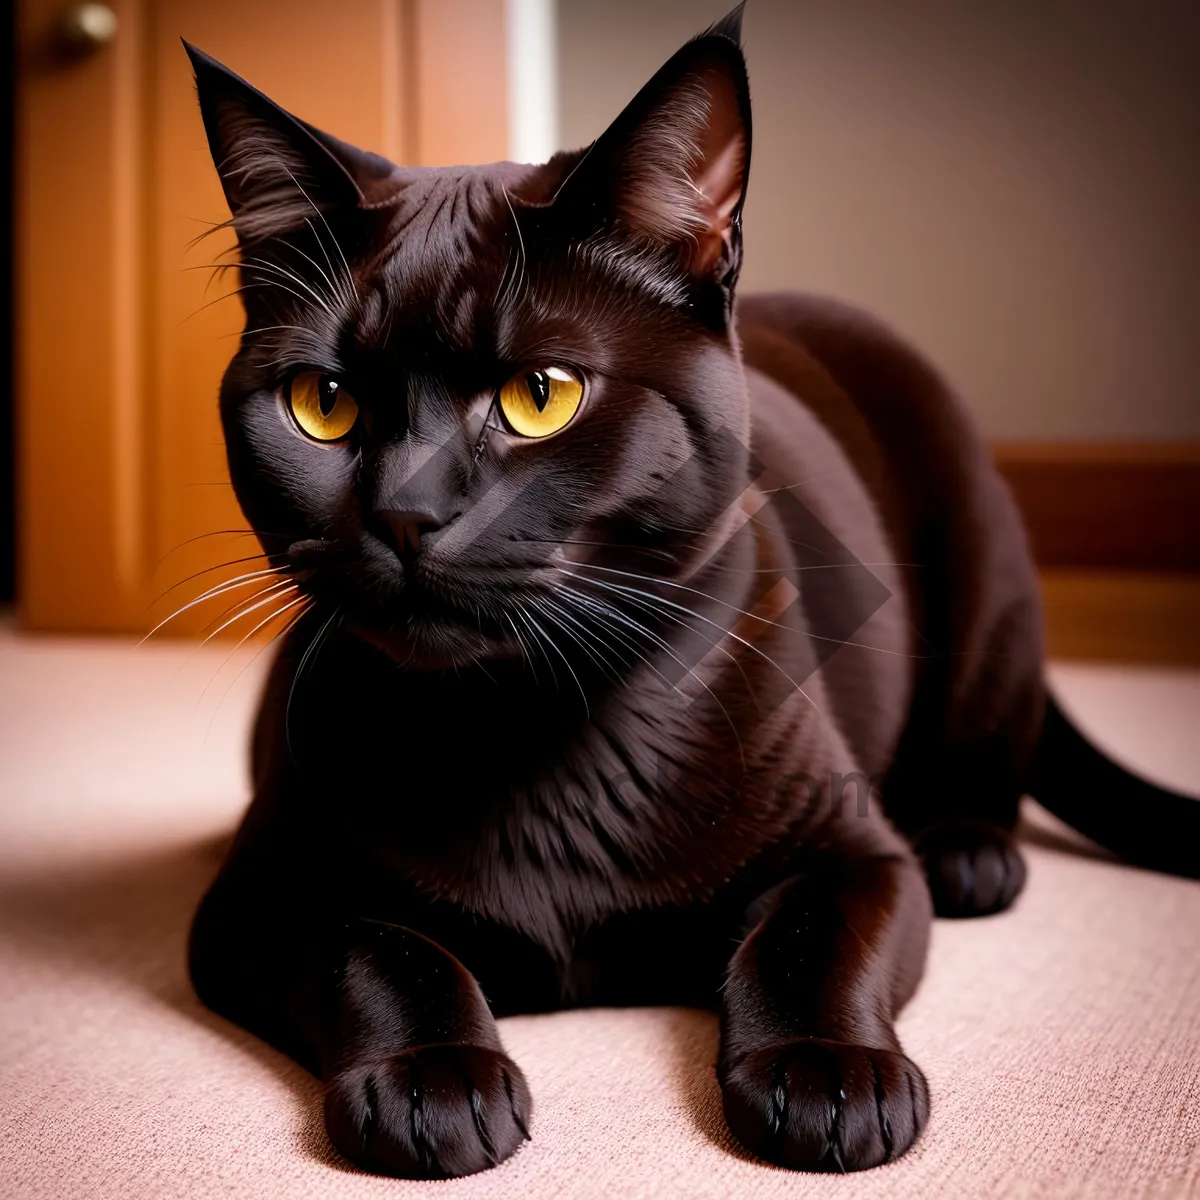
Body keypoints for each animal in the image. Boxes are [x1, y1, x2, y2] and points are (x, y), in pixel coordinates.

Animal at [182, 4, 1195, 1176]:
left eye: (539, 396)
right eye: (324, 403)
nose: (405, 513)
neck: (526, 732)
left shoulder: (853, 852)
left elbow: (805, 938)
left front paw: (824, 1073)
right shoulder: (256, 897)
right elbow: (376, 945)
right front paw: (433, 1079)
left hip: (982, 575)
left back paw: (970, 853)